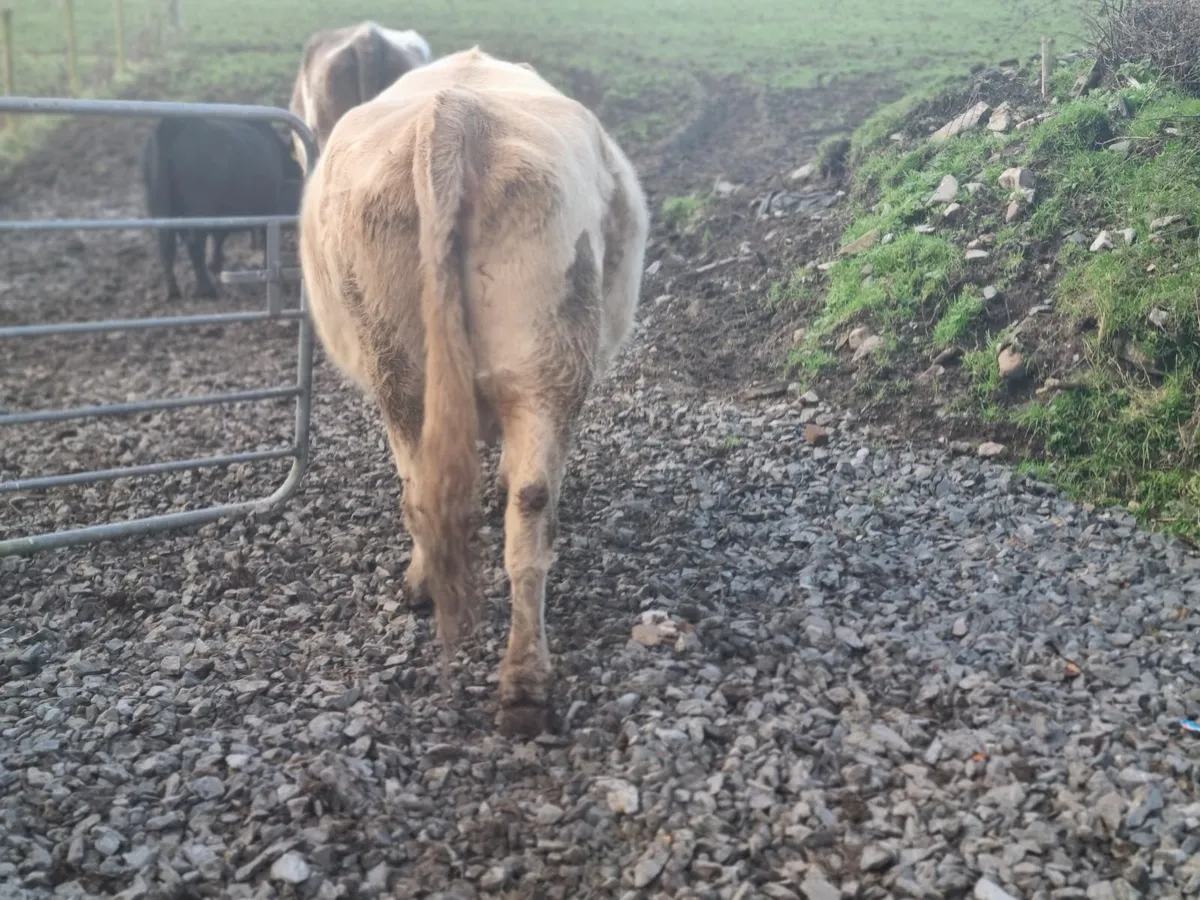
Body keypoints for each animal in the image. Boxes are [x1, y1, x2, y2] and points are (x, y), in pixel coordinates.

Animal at [141, 117, 304, 301]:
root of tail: (173, 124)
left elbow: (218, 237)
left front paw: (215, 263)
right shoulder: (266, 207)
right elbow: (263, 236)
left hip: (159, 208)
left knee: (166, 247)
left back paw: (173, 291)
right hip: (199, 209)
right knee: (194, 245)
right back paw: (206, 289)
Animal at [298, 47, 649, 737]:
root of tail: (456, 111)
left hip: (409, 372)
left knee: (435, 492)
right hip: (545, 363)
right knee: (529, 507)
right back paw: (523, 683)